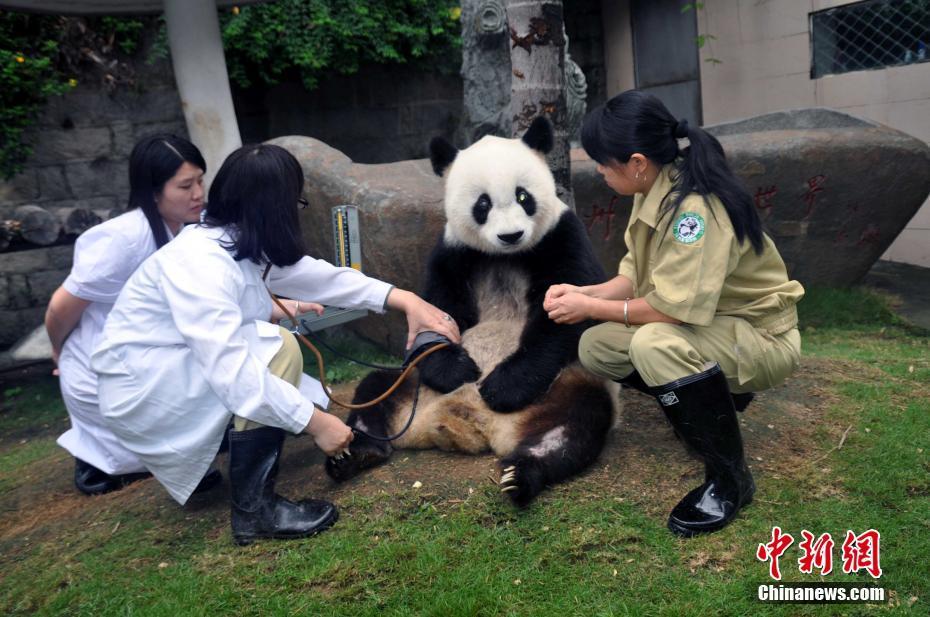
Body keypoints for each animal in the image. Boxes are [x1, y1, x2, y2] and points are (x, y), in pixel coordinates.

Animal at [326, 116, 616, 506]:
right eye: (483, 204)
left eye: (523, 196)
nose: (511, 235)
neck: (506, 256)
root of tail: (472, 425)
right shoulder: (453, 252)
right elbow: (438, 311)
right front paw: (457, 369)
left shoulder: (561, 237)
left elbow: (566, 317)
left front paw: (502, 387)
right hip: (413, 384)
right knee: (375, 390)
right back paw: (353, 454)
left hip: (567, 385)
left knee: (576, 424)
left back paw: (520, 475)